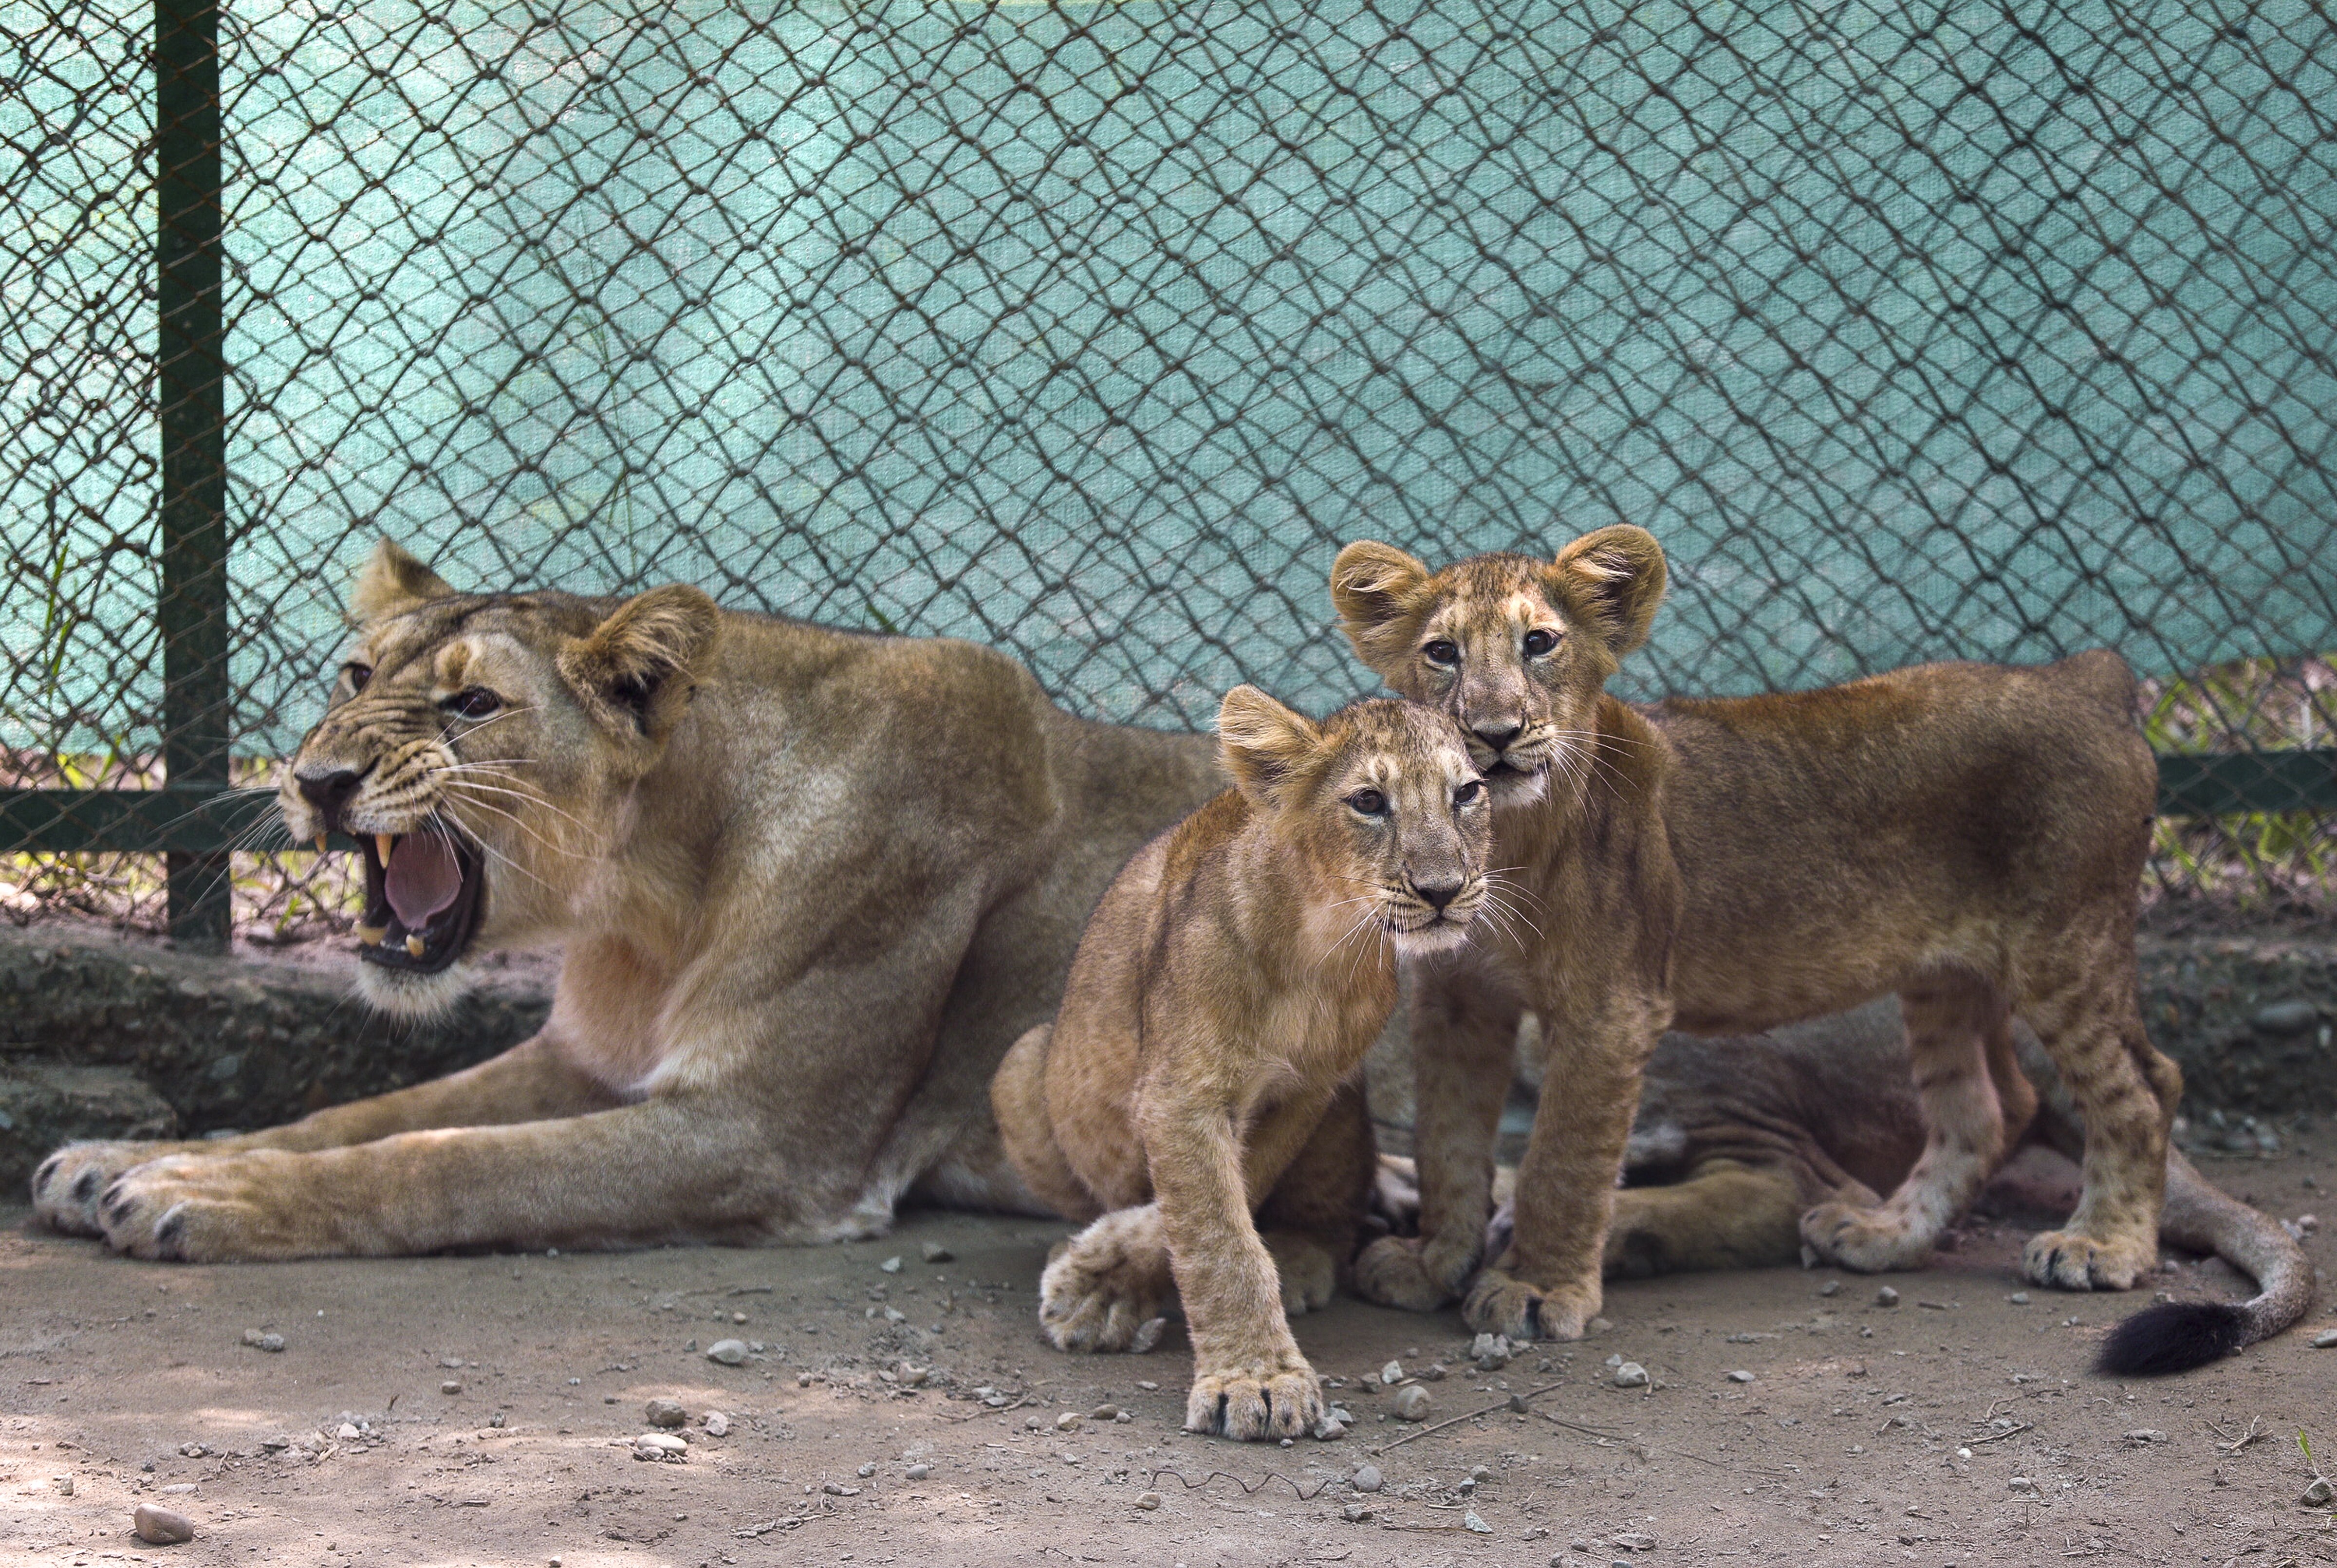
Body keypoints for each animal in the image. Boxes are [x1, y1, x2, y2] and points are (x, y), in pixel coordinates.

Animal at [30, 541, 1225, 1259]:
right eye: (357, 676)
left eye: (474, 704)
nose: (316, 782)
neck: (650, 903)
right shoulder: (579, 1060)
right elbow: (358, 1114)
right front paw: (116, 1160)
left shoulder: (759, 1137)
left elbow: (447, 1159)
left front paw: (205, 1195)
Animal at [990, 689, 1493, 1441]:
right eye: (1369, 801)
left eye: (1466, 793)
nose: (1443, 889)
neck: (1323, 946)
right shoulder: (1183, 1094)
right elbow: (1215, 1236)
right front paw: (1252, 1378)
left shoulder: (1305, 1091)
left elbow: (1227, 1204)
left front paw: (1108, 1276)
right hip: (1020, 1069)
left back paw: (1300, 1253)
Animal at [1328, 529, 2182, 1343]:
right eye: (1443, 652)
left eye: (1540, 643)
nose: (1494, 732)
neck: (1505, 832)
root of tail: (2085, 677)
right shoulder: (1457, 1002)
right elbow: (1448, 1143)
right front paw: (1433, 1264)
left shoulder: (1612, 1008)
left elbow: (1562, 1158)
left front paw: (1535, 1288)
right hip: (1946, 977)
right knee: (1985, 1109)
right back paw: (1883, 1236)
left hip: (2065, 944)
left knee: (2145, 1086)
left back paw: (2103, 1247)